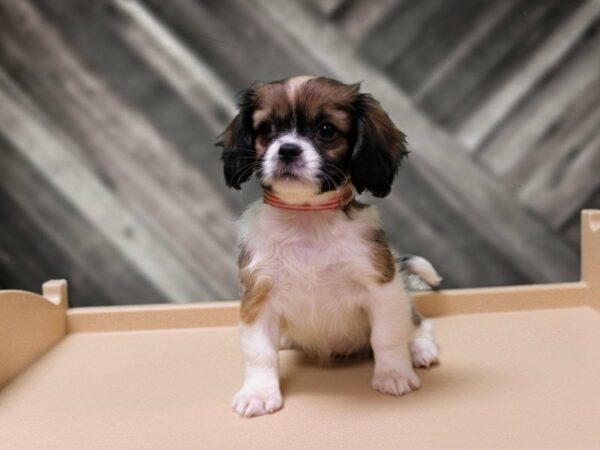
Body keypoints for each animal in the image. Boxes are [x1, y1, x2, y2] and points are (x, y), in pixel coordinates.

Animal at [218, 75, 438, 416]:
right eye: (267, 129)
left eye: (326, 130)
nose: (288, 150)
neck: (307, 218)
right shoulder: (258, 295)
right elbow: (259, 351)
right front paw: (258, 392)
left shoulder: (381, 289)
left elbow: (387, 336)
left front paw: (393, 374)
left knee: (418, 324)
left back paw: (418, 347)